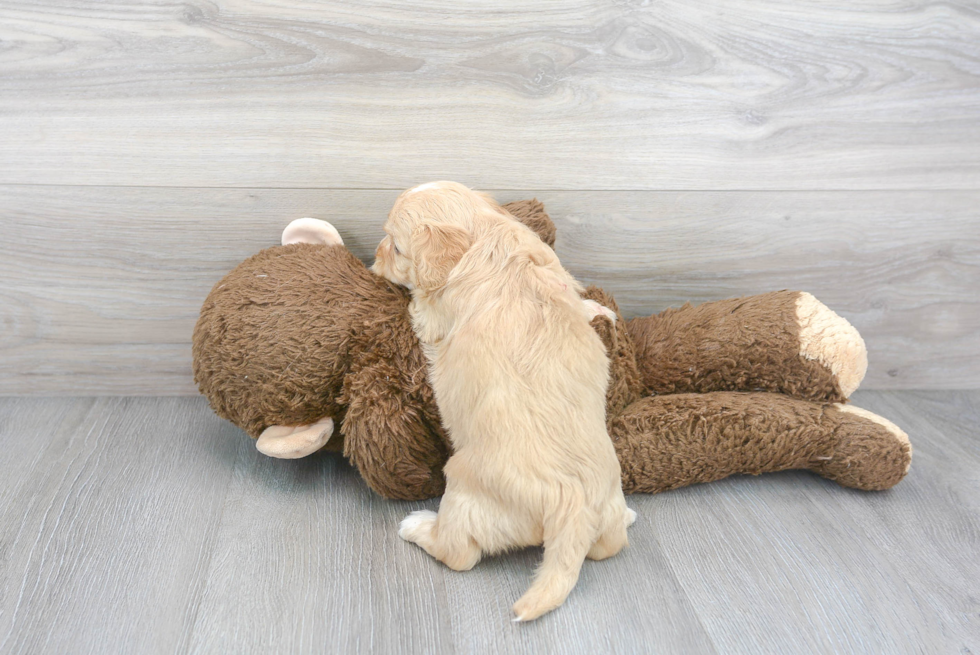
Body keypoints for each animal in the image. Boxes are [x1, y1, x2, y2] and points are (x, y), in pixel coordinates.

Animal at [370, 182, 636, 624]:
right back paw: (629, 517)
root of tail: (573, 509)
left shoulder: (432, 314)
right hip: (607, 510)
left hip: (462, 491)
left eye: (395, 246)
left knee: (459, 553)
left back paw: (418, 527)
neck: (486, 237)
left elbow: (417, 307)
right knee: (608, 545)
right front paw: (594, 309)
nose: (372, 258)